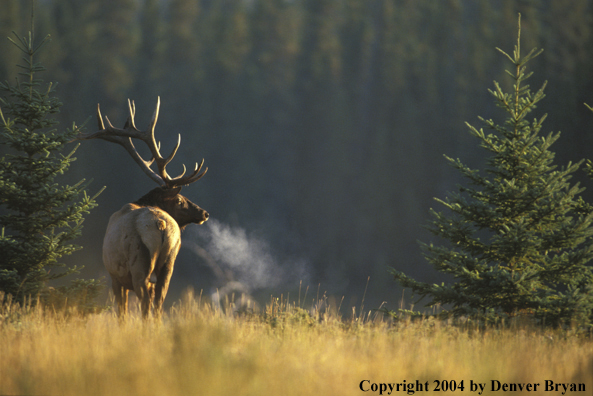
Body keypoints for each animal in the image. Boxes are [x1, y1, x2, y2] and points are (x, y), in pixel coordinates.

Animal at [77, 98, 208, 318]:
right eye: (179, 200)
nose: (204, 213)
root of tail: (161, 224)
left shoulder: (114, 276)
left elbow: (122, 312)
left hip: (139, 264)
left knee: (145, 303)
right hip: (169, 263)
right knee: (158, 303)